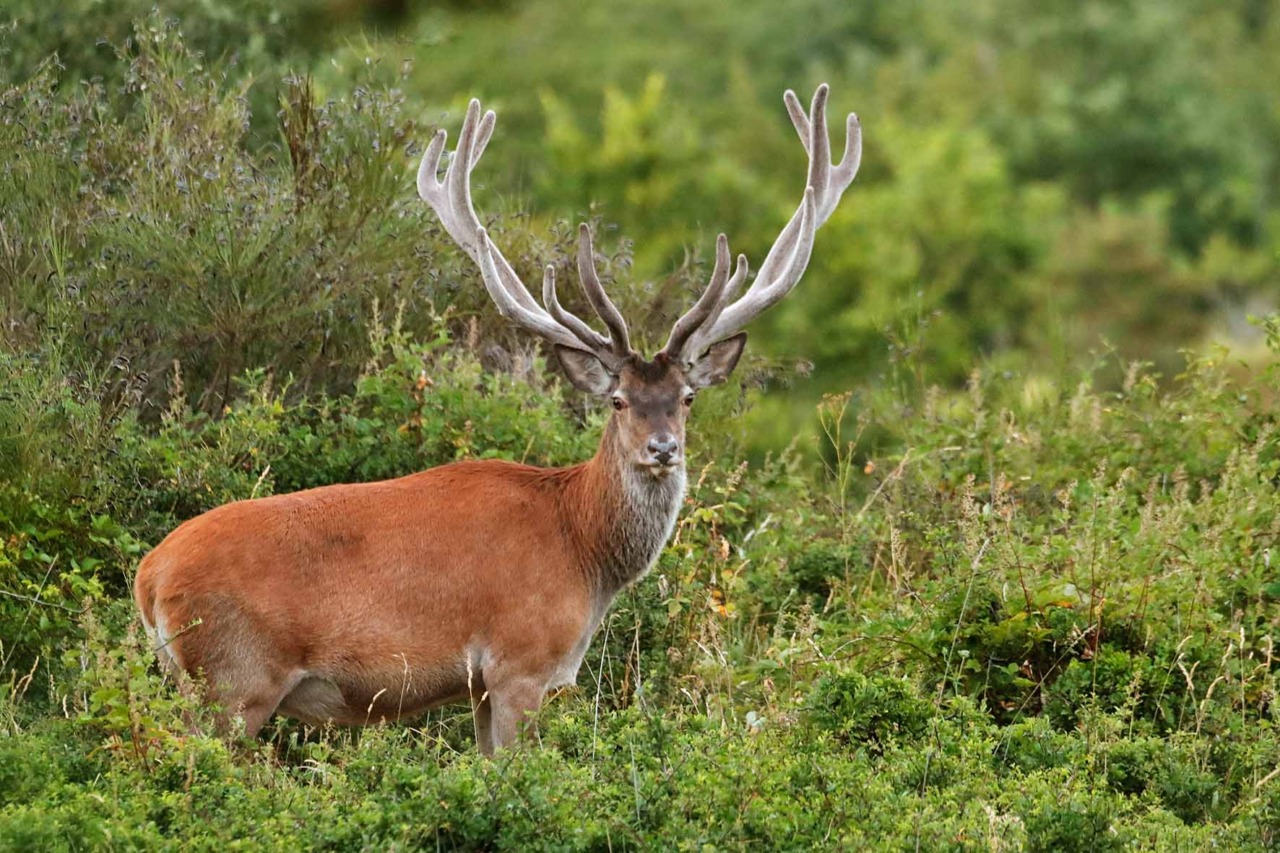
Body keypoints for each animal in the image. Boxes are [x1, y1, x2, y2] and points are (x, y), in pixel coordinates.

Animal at [133, 85, 861, 753]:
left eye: (686, 396)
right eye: (617, 399)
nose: (662, 449)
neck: (582, 549)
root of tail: (150, 575)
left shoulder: (481, 686)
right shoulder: (520, 661)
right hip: (234, 680)